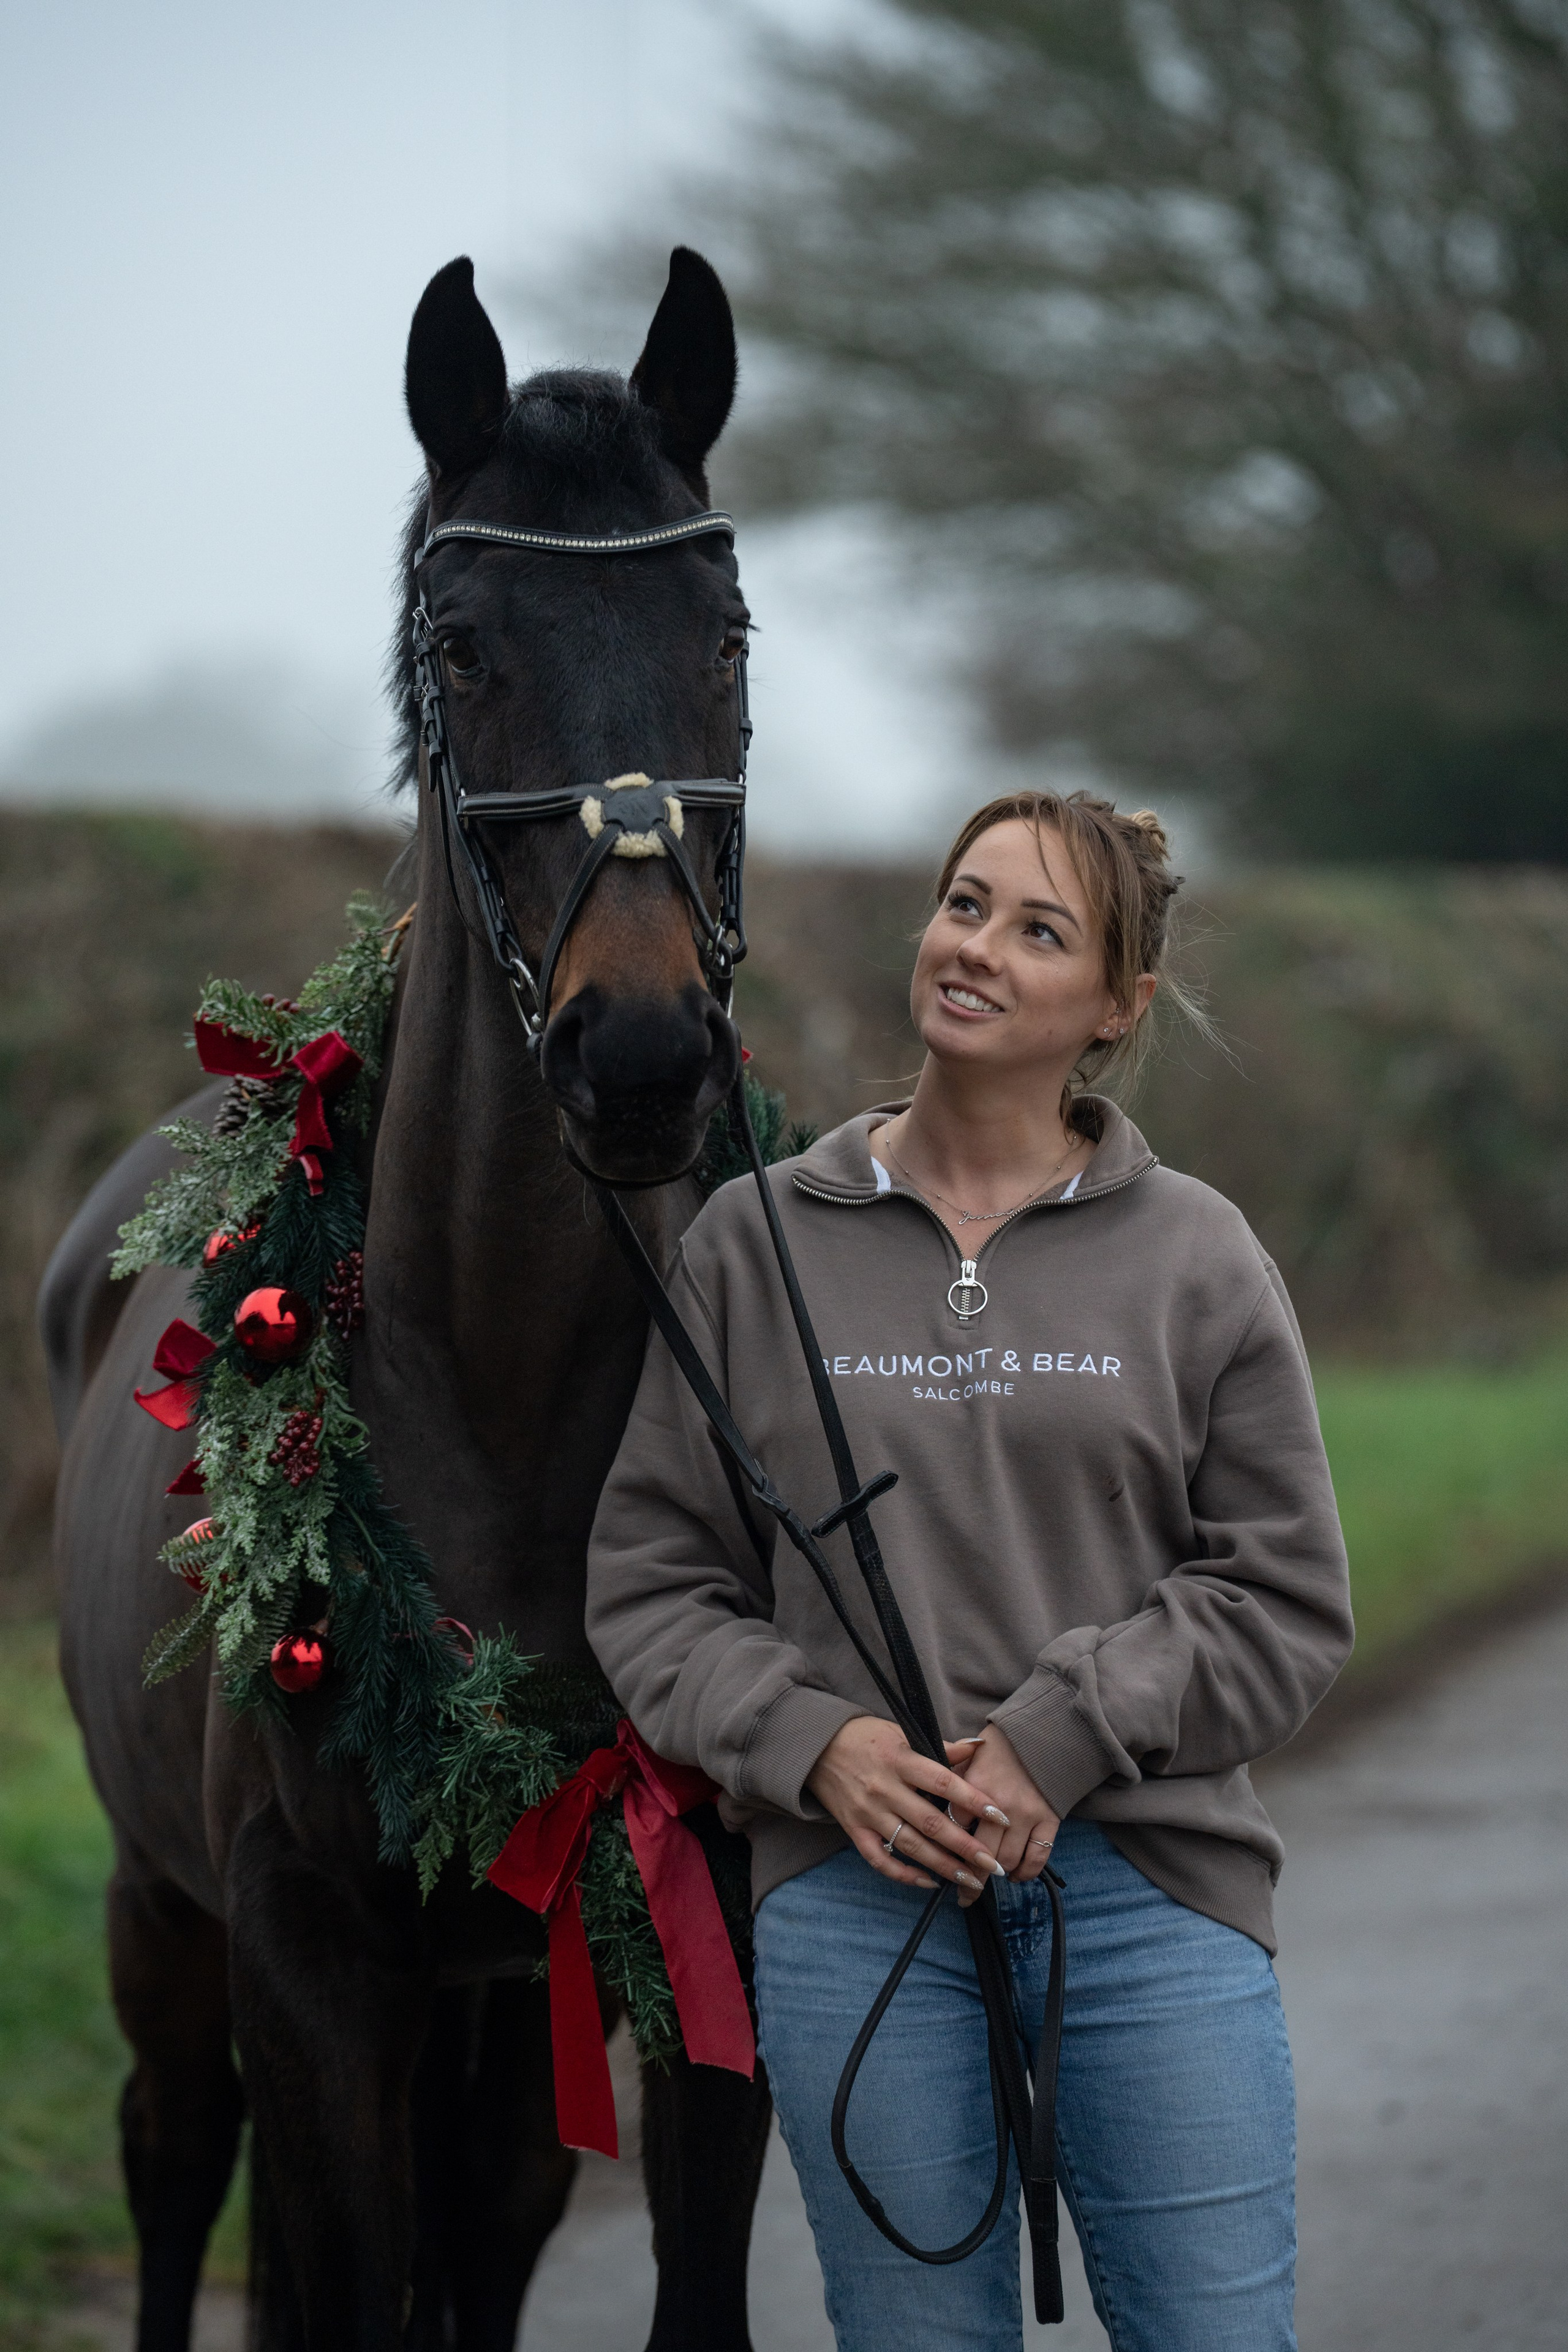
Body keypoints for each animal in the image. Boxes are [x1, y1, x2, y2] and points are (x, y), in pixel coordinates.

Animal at [41, 247, 776, 2351]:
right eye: (461, 644)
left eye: (726, 633)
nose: (641, 1055)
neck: (497, 1400)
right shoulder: (309, 1952)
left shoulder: (708, 1907)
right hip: (167, 1921)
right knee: (178, 2157)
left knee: (491, 2215)